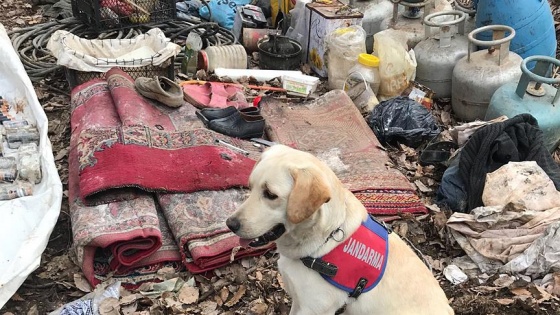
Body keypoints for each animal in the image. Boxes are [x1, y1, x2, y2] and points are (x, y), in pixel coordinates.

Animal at [225, 146, 452, 315]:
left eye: (270, 194)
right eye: (250, 187)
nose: (230, 224)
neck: (325, 238)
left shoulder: (313, 309)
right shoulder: (299, 301)